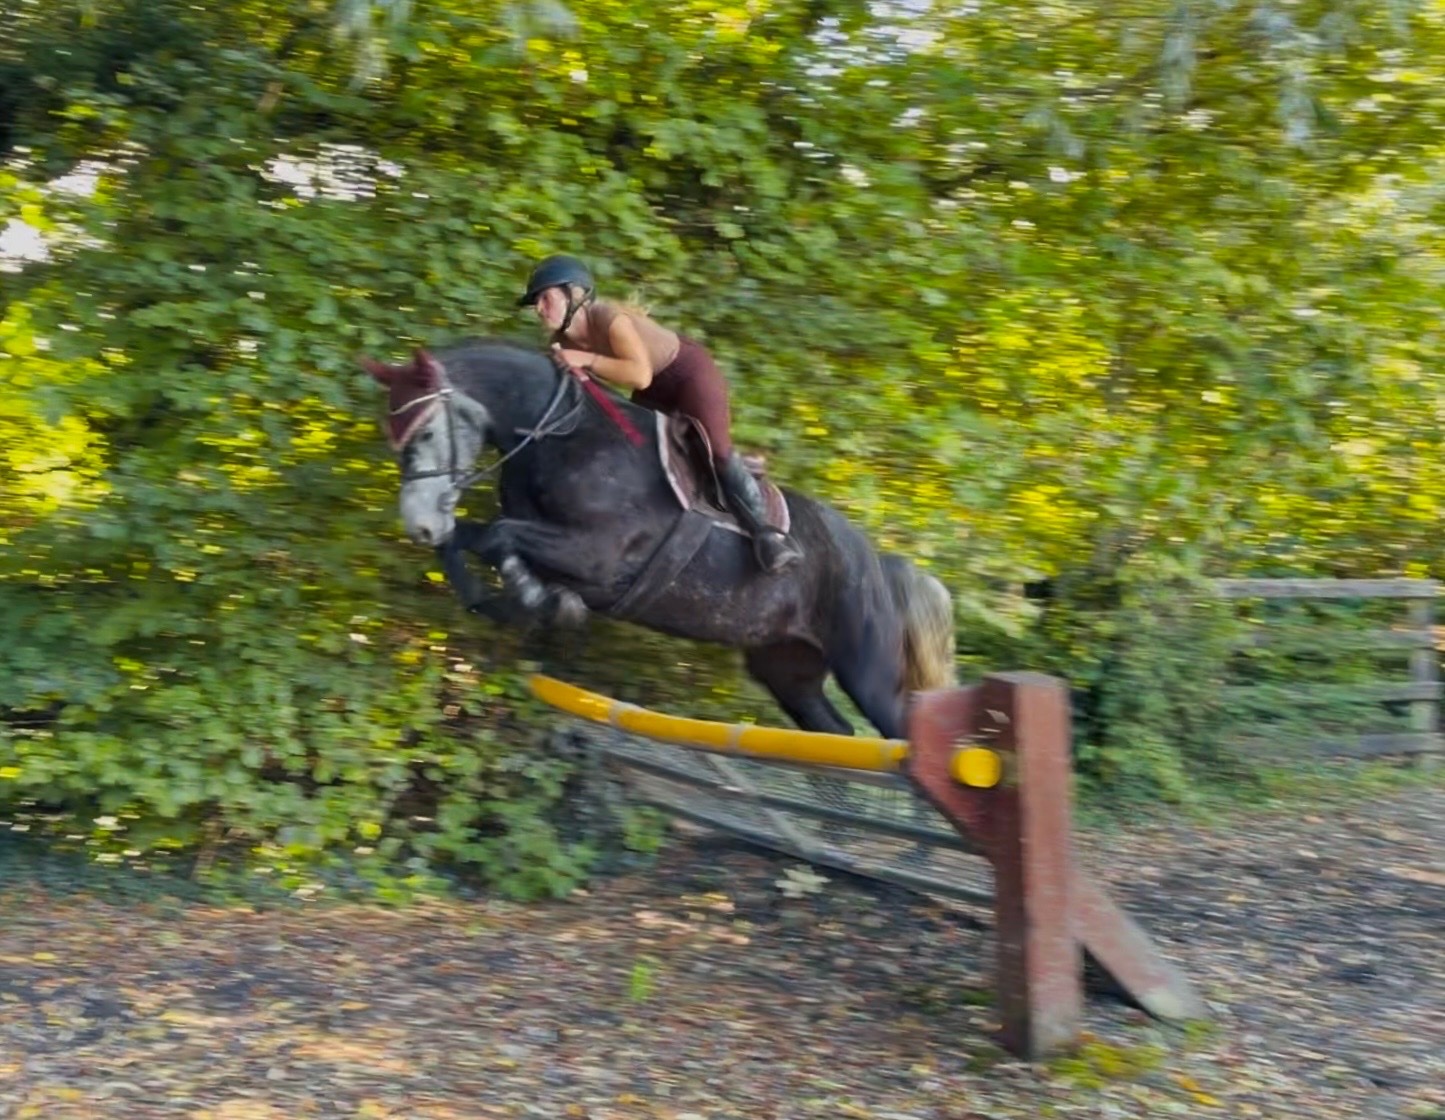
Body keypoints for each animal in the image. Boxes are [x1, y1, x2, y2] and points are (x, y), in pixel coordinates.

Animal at [360, 337, 957, 741]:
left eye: (428, 433)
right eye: (394, 437)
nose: (419, 523)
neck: (557, 436)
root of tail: (878, 562)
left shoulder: (598, 557)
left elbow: (499, 537)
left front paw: (538, 599)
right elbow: (471, 541)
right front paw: (510, 601)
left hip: (868, 672)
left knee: (900, 734)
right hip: (788, 669)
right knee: (836, 733)